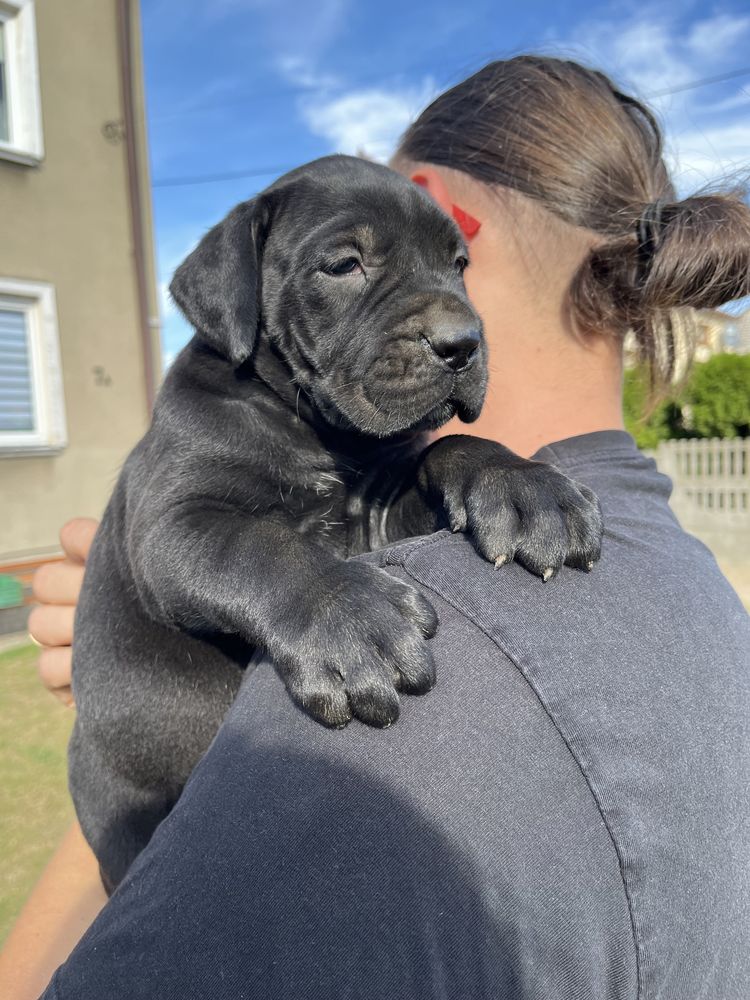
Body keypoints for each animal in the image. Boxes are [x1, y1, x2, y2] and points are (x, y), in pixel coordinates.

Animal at [70, 152, 604, 888]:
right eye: (345, 264)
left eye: (459, 265)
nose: (463, 344)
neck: (316, 431)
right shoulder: (172, 524)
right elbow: (259, 544)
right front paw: (351, 621)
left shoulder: (381, 515)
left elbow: (445, 448)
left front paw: (526, 485)